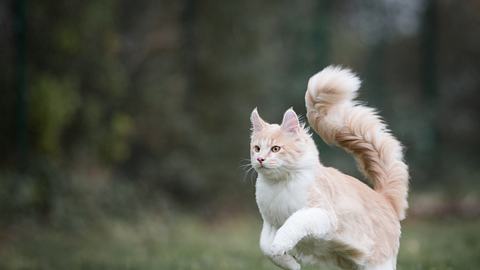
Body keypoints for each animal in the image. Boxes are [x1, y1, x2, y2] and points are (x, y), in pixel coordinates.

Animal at [248, 66, 408, 270]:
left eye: (276, 149)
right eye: (257, 148)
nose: (260, 159)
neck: (278, 185)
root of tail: (385, 198)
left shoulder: (321, 214)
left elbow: (293, 223)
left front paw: (281, 244)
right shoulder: (270, 224)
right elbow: (265, 247)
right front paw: (291, 263)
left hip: (378, 264)